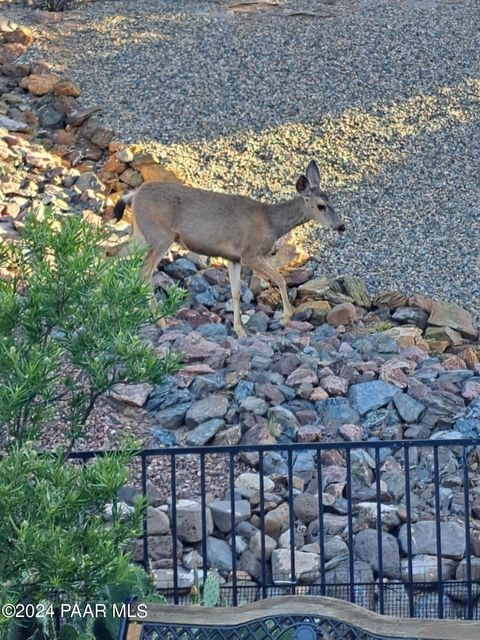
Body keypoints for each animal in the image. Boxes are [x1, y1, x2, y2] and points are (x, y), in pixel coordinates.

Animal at [112, 159, 344, 336]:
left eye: (332, 202)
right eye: (321, 206)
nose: (341, 226)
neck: (272, 222)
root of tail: (134, 194)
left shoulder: (233, 258)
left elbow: (235, 292)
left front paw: (240, 331)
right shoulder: (251, 253)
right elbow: (280, 278)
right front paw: (285, 318)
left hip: (141, 235)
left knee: (111, 253)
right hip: (160, 236)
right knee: (144, 272)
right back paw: (159, 321)